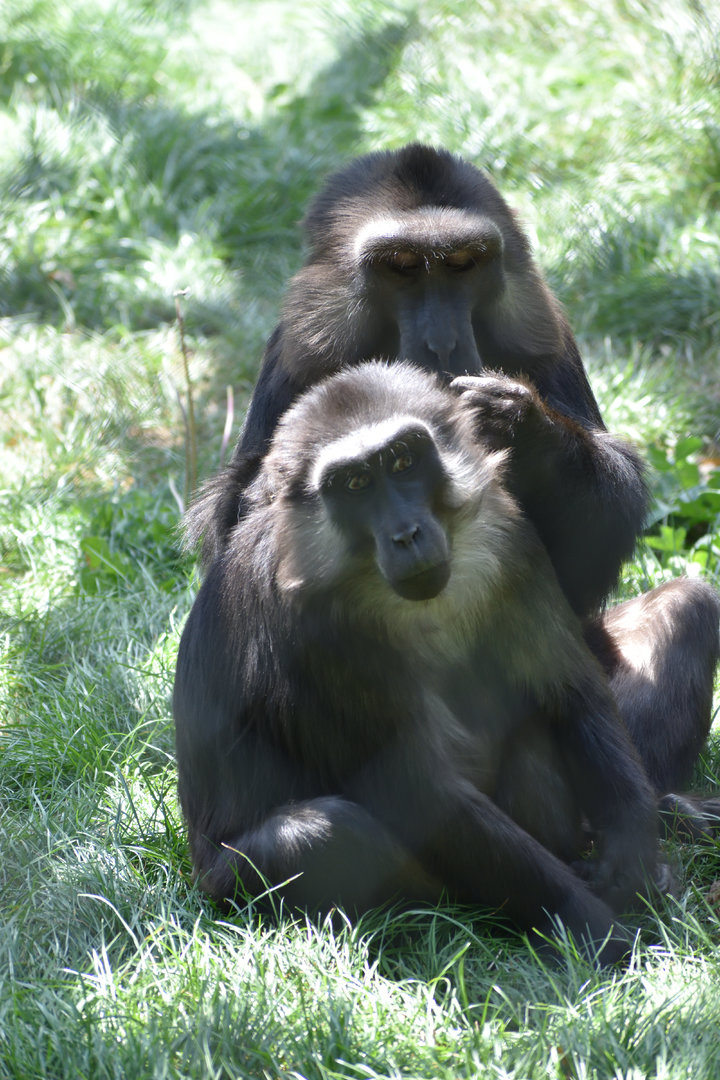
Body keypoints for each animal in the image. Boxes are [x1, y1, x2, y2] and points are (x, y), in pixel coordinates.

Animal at [174, 361, 662, 965]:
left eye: (403, 461)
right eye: (354, 484)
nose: (405, 534)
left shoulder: (508, 538)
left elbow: (568, 690)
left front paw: (632, 845)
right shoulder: (315, 634)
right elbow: (423, 795)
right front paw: (599, 929)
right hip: (227, 880)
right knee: (319, 834)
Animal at [185, 143, 720, 808]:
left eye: (464, 264)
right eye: (403, 267)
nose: (440, 345)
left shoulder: (550, 335)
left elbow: (598, 536)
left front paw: (518, 423)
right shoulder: (291, 354)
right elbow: (236, 535)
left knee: (685, 609)